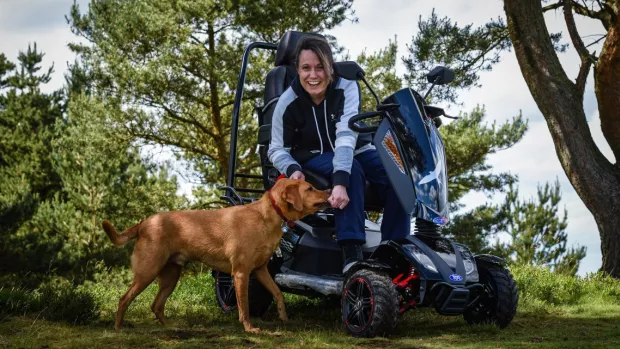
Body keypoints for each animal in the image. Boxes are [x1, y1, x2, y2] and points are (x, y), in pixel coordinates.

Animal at [103, 178, 330, 334]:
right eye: (310, 188)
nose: (329, 191)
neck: (268, 215)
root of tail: (144, 222)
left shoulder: (261, 270)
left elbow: (278, 294)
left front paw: (284, 318)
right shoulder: (241, 273)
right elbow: (244, 306)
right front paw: (249, 328)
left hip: (170, 276)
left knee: (156, 305)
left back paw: (170, 326)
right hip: (148, 271)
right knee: (124, 299)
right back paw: (118, 327)